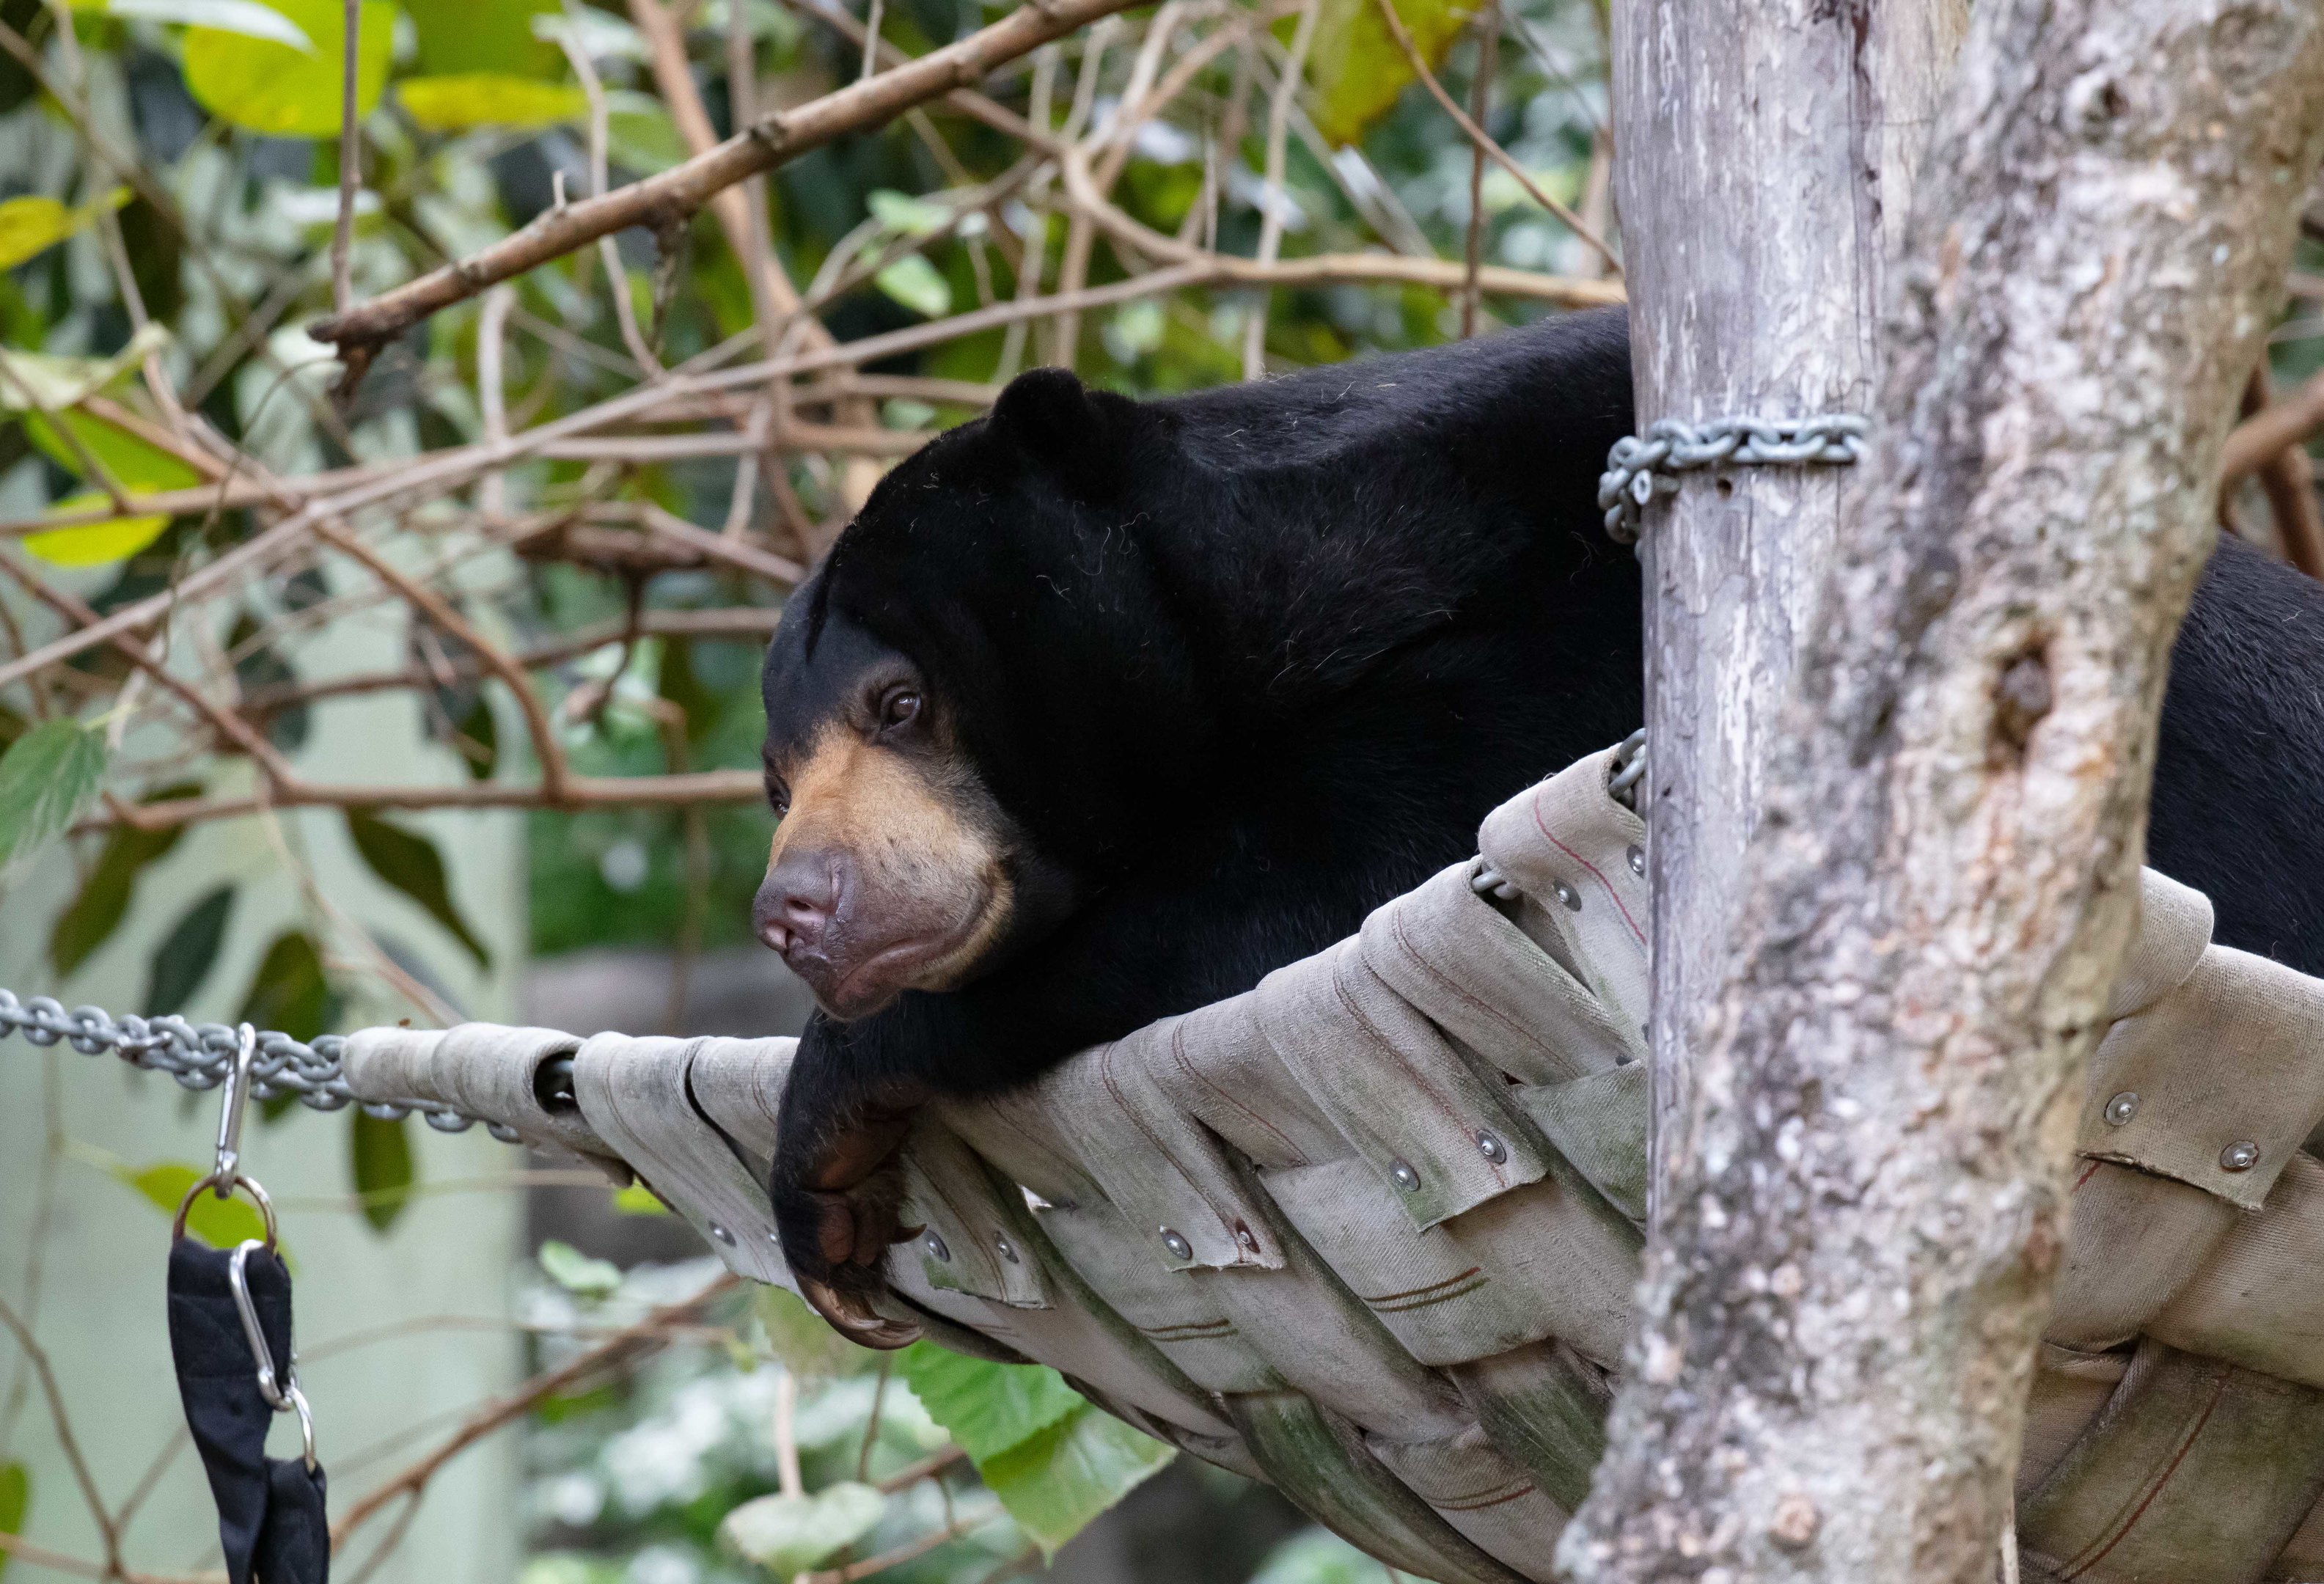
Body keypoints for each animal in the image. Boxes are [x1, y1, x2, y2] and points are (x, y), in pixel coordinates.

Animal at [754, 304, 2324, 1339]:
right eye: (775, 774)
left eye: (899, 703)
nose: (794, 909)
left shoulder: (1579, 629)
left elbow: (1324, 860)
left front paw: (823, 1132)